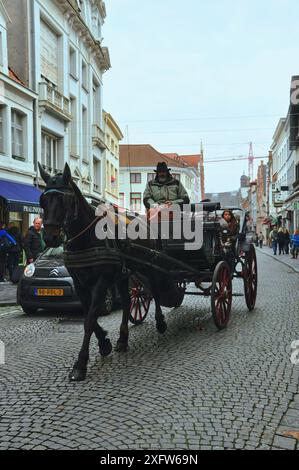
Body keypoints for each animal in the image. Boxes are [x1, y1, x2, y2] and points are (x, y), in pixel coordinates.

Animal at [39, 163, 172, 380]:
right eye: (43, 200)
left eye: (64, 199)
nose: (50, 237)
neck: (85, 238)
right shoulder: (80, 283)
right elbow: (89, 317)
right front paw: (104, 344)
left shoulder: (101, 282)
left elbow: (90, 319)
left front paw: (80, 364)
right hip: (124, 275)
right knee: (127, 302)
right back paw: (123, 339)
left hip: (148, 266)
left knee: (154, 291)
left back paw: (160, 322)